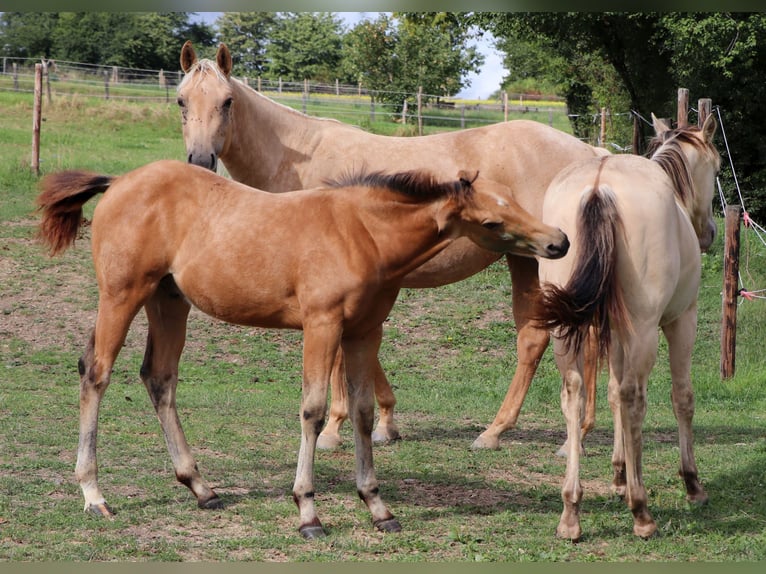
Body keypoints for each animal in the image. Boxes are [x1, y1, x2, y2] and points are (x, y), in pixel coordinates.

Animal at [39, 160, 572, 536]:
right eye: (491, 221)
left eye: (515, 202)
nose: (559, 242)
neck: (363, 234)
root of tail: (119, 181)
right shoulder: (322, 325)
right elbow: (314, 410)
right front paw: (308, 512)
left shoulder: (365, 331)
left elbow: (360, 411)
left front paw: (377, 507)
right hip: (122, 294)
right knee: (97, 372)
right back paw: (93, 495)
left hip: (169, 301)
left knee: (159, 378)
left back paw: (201, 488)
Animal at [177, 40, 608, 454]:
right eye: (182, 100)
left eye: (227, 101)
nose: (200, 159)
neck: (302, 160)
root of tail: (591, 154)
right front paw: (387, 422)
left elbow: (339, 361)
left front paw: (334, 429)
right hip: (524, 261)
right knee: (540, 338)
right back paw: (520, 432)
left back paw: (552, 435)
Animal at [536, 115, 720, 544]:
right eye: (718, 170)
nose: (710, 233)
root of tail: (599, 187)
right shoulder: (680, 321)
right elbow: (680, 398)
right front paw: (692, 483)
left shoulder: (613, 333)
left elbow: (610, 394)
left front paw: (619, 475)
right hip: (645, 330)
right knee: (634, 397)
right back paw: (642, 511)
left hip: (567, 334)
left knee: (575, 396)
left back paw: (571, 511)